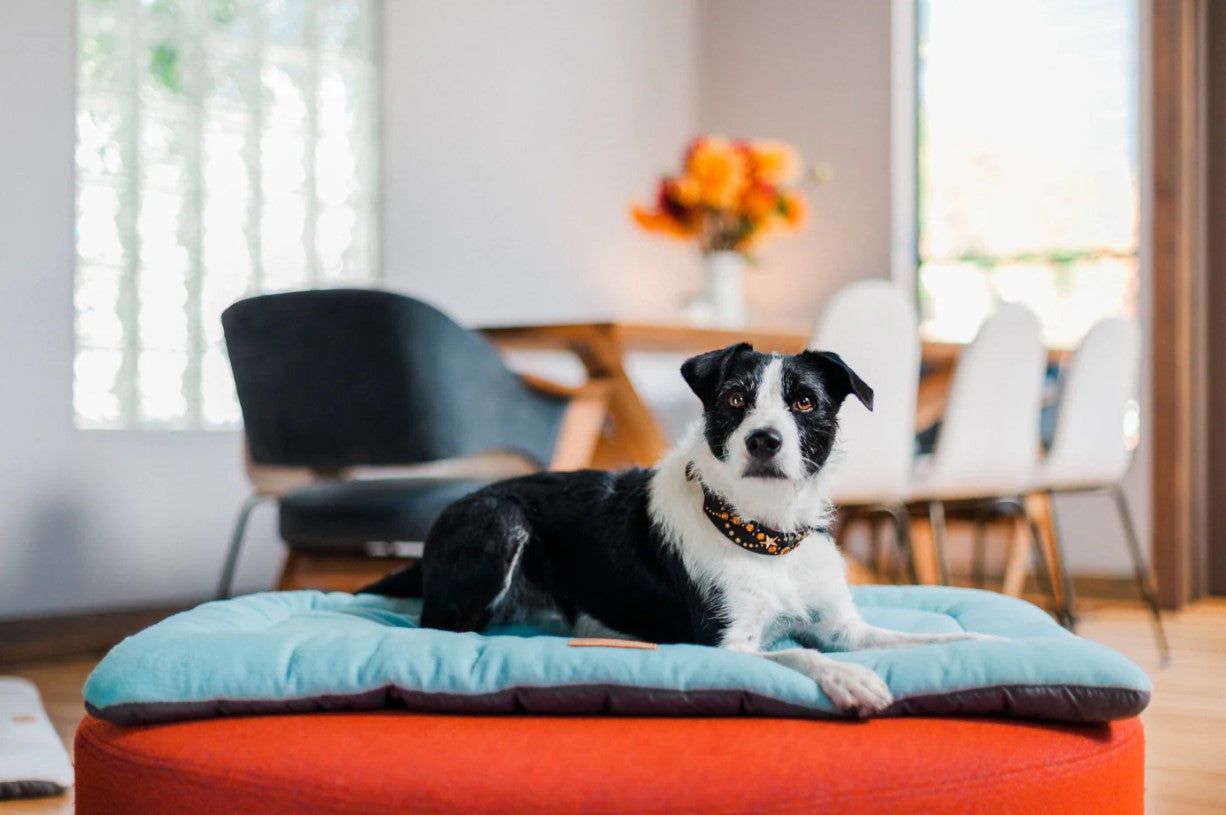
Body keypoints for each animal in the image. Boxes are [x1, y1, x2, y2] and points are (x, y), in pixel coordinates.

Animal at [362, 343, 985, 710]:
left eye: (806, 402)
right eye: (734, 398)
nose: (765, 440)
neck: (766, 535)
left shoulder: (842, 629)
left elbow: (915, 639)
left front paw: (979, 639)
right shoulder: (724, 644)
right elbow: (799, 655)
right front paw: (850, 680)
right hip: (501, 521)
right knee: (440, 627)